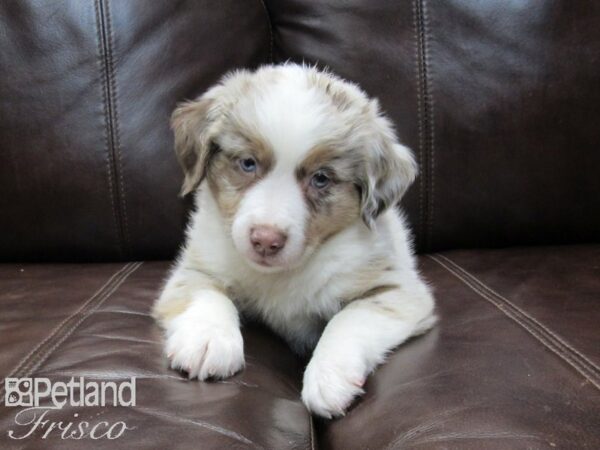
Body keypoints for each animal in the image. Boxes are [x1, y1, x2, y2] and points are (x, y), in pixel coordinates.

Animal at [152, 63, 436, 418]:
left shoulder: (398, 290)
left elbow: (349, 318)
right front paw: (206, 341)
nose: (265, 240)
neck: (282, 275)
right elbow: (206, 294)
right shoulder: (197, 266)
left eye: (321, 178)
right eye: (248, 163)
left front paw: (328, 376)